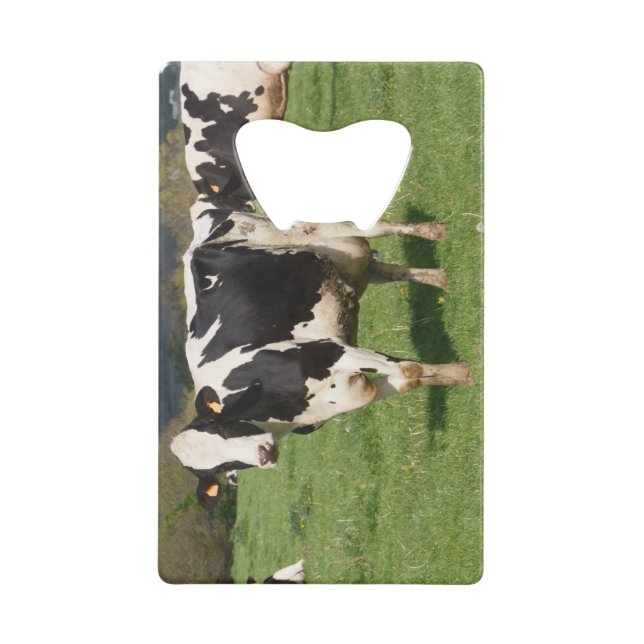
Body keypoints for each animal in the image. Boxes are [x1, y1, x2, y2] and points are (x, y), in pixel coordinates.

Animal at [169, 62, 473, 509]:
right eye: (221, 469)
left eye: (223, 429)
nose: (264, 455)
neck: (282, 409)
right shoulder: (347, 394)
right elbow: (407, 379)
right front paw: (459, 375)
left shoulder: (332, 349)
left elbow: (410, 368)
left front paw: (462, 373)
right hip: (341, 260)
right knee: (383, 268)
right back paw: (439, 278)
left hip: (314, 229)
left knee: (373, 229)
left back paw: (433, 231)